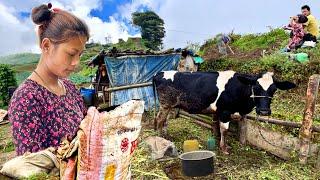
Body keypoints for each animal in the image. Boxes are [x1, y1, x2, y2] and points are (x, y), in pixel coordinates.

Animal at [151, 70, 296, 153]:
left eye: (274, 89)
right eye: (255, 87)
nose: (264, 111)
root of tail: (158, 73)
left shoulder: (219, 111)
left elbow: (216, 125)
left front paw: (216, 139)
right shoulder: (225, 112)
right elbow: (224, 130)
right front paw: (224, 148)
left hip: (171, 105)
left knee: (165, 120)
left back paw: (166, 136)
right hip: (165, 104)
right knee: (159, 119)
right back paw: (160, 138)